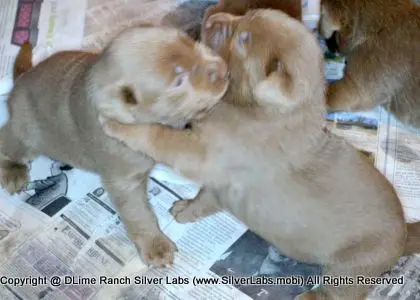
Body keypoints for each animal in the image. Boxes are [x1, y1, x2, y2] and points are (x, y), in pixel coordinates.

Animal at [0, 24, 230, 266]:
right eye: (179, 79)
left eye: (192, 41)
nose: (224, 68)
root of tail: (21, 78)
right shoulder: (125, 181)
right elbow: (139, 214)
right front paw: (155, 245)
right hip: (27, 134)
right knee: (8, 141)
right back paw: (13, 172)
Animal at [99, 9, 420, 300]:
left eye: (243, 40)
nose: (211, 16)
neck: (258, 111)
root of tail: (404, 233)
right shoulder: (220, 182)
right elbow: (203, 199)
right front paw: (186, 209)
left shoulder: (202, 154)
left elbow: (158, 136)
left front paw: (117, 124)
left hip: (352, 265)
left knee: (340, 292)